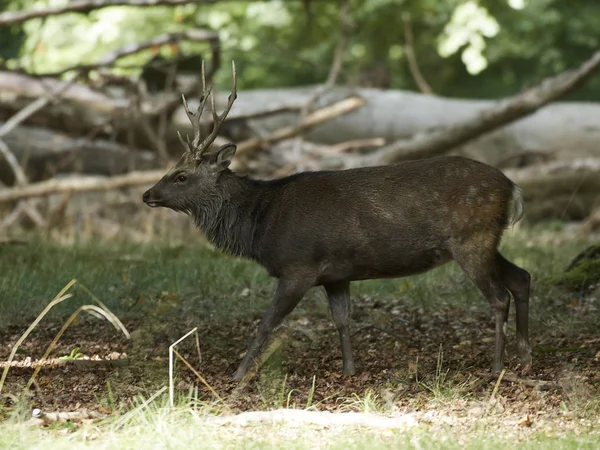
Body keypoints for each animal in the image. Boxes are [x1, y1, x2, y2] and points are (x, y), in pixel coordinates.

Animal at [143, 61, 532, 382]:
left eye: (180, 176)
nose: (147, 194)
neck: (261, 224)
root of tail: (513, 186)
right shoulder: (336, 274)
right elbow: (342, 320)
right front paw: (349, 369)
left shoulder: (298, 266)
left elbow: (268, 321)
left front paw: (238, 373)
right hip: (487, 239)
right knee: (522, 276)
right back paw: (524, 354)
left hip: (472, 237)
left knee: (499, 296)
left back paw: (497, 366)